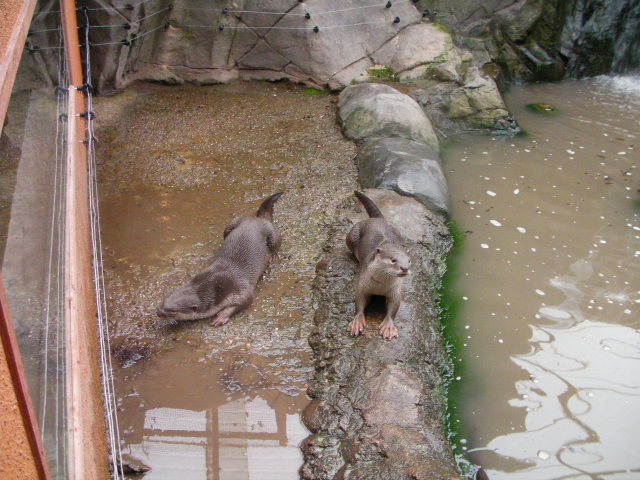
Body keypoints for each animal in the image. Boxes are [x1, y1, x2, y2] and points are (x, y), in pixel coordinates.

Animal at [157, 192, 283, 326]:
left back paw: (274, 256)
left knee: (277, 241)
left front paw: (222, 316)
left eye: (172, 311)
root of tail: (258, 219)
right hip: (233, 223)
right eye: (164, 300)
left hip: (271, 232)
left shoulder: (239, 287)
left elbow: (246, 299)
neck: (213, 281)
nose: (158, 311)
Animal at [346, 191, 411, 339]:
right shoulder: (363, 283)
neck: (380, 286)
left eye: (409, 260)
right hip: (351, 235)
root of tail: (378, 219)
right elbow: (359, 300)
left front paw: (389, 326)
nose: (405, 268)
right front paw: (357, 321)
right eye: (393, 260)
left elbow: (394, 306)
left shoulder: (396, 290)